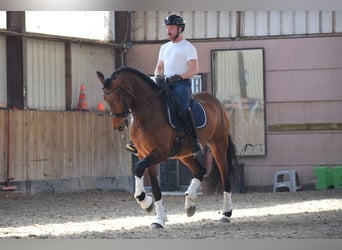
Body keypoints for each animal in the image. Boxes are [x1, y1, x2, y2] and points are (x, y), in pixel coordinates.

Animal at [96, 66, 239, 229]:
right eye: (105, 98)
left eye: (118, 97)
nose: (118, 126)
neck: (147, 113)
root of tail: (215, 101)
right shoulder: (144, 154)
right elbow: (155, 188)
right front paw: (158, 217)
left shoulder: (160, 153)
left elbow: (138, 168)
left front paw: (144, 200)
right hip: (184, 154)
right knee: (200, 170)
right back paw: (190, 203)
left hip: (218, 145)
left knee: (225, 177)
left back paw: (226, 213)